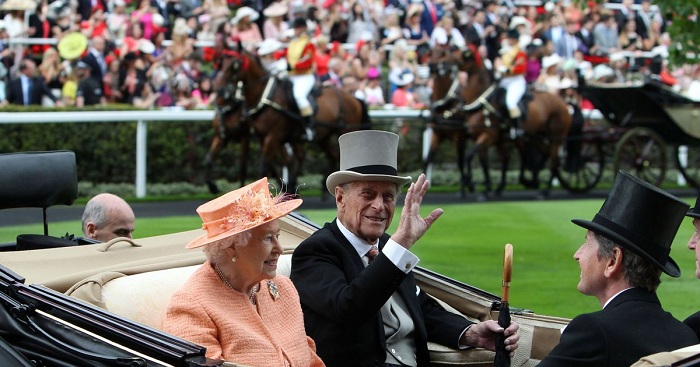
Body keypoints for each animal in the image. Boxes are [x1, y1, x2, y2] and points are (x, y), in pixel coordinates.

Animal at [204, 46, 372, 198]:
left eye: (235, 64)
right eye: (220, 63)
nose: (219, 89)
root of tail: (352, 97)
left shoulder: (269, 137)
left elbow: (261, 166)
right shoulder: (257, 137)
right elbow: (210, 160)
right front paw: (213, 187)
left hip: (345, 133)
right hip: (322, 137)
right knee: (330, 155)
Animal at [432, 46, 576, 198]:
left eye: (464, 54)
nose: (442, 63)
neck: (482, 100)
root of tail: (563, 102)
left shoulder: (489, 136)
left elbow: (469, 156)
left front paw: (472, 185)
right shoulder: (483, 137)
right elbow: (483, 161)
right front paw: (485, 187)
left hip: (555, 137)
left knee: (553, 161)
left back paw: (544, 189)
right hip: (534, 136)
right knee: (543, 154)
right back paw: (531, 183)